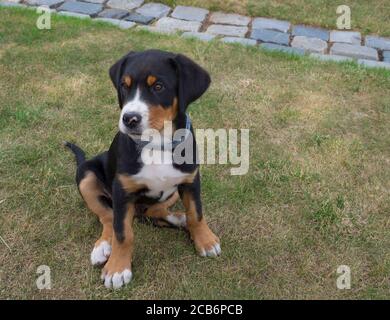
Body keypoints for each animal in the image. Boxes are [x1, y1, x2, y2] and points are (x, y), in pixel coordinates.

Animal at [65, 48, 221, 288]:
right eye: (124, 85)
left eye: (158, 86)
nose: (129, 119)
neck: (157, 144)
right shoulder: (122, 191)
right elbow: (122, 233)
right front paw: (117, 268)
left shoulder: (190, 180)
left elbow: (196, 213)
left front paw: (205, 240)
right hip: (86, 175)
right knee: (108, 217)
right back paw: (103, 247)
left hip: (172, 193)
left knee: (153, 211)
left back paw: (179, 219)